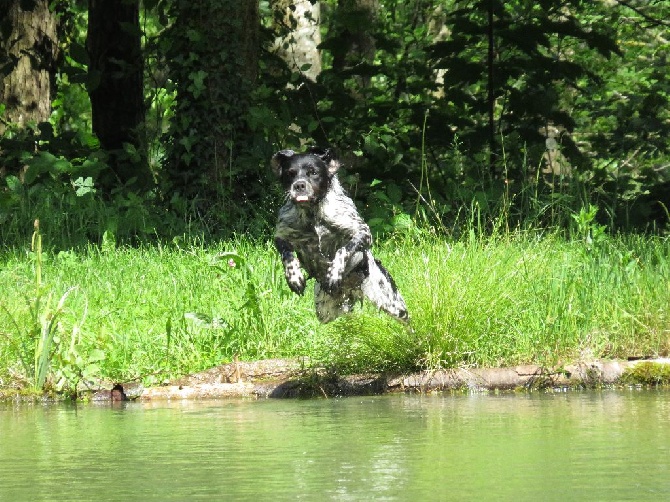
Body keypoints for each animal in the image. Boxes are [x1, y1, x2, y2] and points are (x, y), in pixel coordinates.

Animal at [272, 147, 410, 324]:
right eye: (290, 173)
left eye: (313, 172)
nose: (299, 185)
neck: (313, 214)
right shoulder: (281, 235)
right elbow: (287, 256)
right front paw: (294, 277)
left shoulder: (362, 232)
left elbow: (343, 250)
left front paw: (334, 273)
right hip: (326, 311)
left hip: (393, 305)